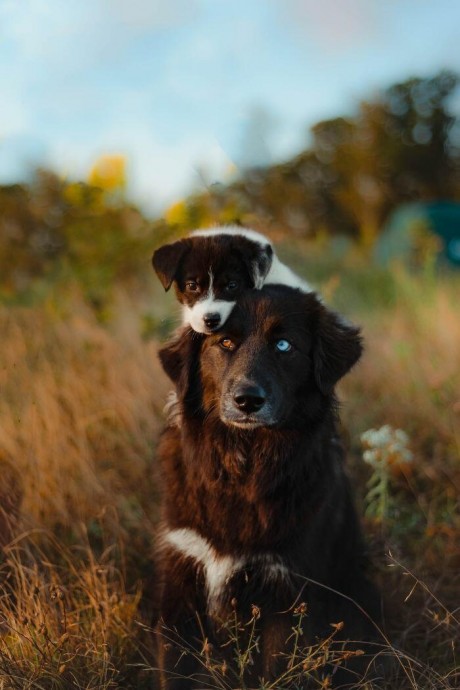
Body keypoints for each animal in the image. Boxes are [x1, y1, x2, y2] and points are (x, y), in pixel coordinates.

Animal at [153, 282, 382, 684]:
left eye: (284, 345)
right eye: (225, 342)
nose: (247, 400)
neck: (243, 469)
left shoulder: (287, 593)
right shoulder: (181, 582)